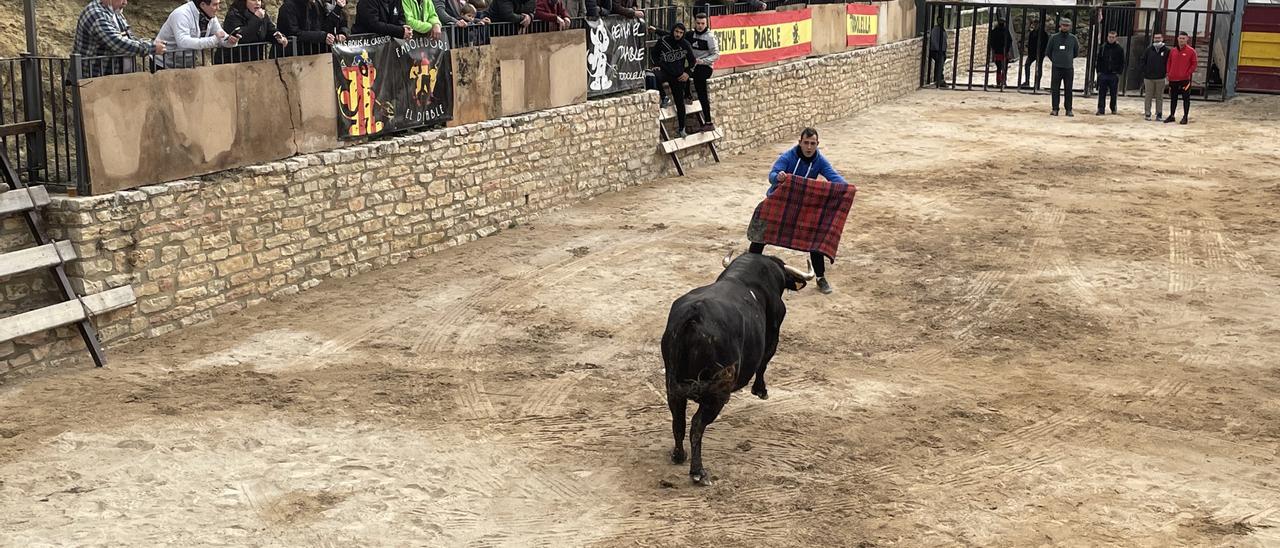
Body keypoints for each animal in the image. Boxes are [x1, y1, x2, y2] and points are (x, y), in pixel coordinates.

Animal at [665, 250, 814, 483]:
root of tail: (693, 317)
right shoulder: (773, 336)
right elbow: (763, 363)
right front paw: (761, 391)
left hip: (673, 387)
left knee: (678, 421)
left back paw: (679, 456)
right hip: (717, 392)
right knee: (697, 425)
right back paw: (698, 472)